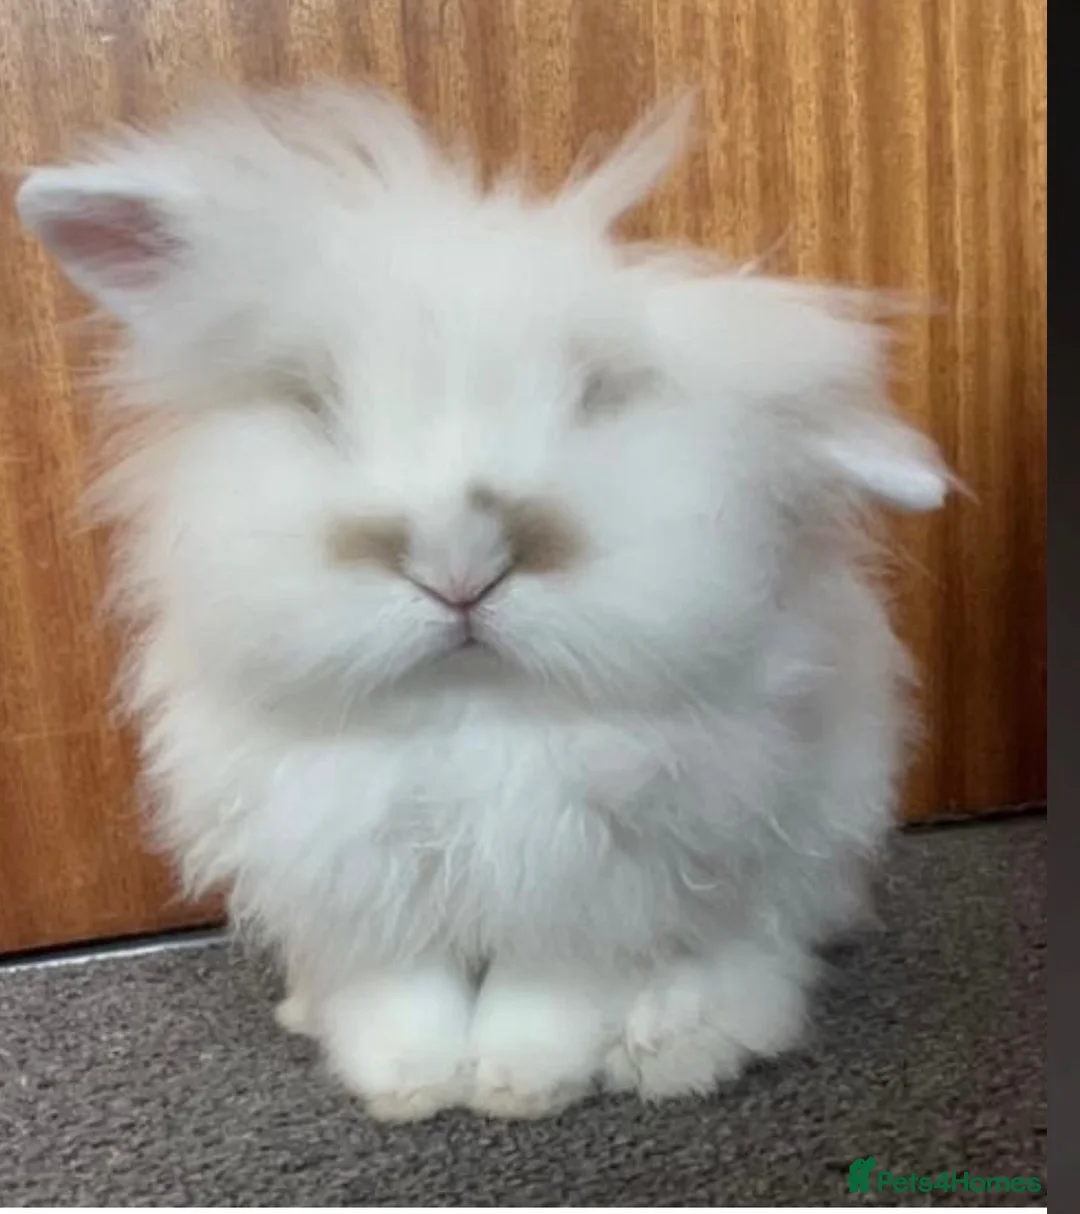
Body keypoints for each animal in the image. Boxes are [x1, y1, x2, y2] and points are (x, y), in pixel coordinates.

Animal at [16, 83, 951, 1122]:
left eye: (597, 394)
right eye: (315, 399)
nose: (457, 559)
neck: (467, 715)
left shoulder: (593, 873)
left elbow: (549, 989)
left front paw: (521, 1083)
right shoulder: (353, 865)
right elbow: (401, 988)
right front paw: (409, 1083)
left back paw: (676, 1047)